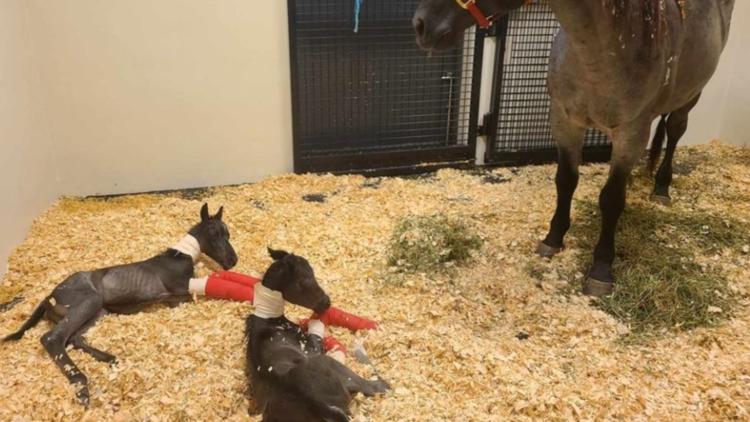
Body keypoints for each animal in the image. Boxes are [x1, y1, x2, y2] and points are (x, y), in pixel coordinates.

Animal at [3, 203, 237, 405]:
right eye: (214, 235)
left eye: (228, 234)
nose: (233, 261)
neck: (180, 256)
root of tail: (49, 296)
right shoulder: (179, 294)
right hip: (89, 302)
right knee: (53, 338)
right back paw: (81, 386)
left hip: (98, 311)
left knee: (75, 339)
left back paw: (110, 358)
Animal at [245, 248, 389, 422]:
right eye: (306, 280)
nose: (327, 302)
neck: (269, 318)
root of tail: (315, 401)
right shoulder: (313, 348)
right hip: (336, 368)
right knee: (379, 386)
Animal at [412, 0, 735, 296]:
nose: (421, 24)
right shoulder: (565, 121)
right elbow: (566, 181)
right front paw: (553, 238)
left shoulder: (631, 133)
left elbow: (611, 199)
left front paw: (601, 268)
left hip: (690, 95)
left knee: (675, 130)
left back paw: (662, 187)